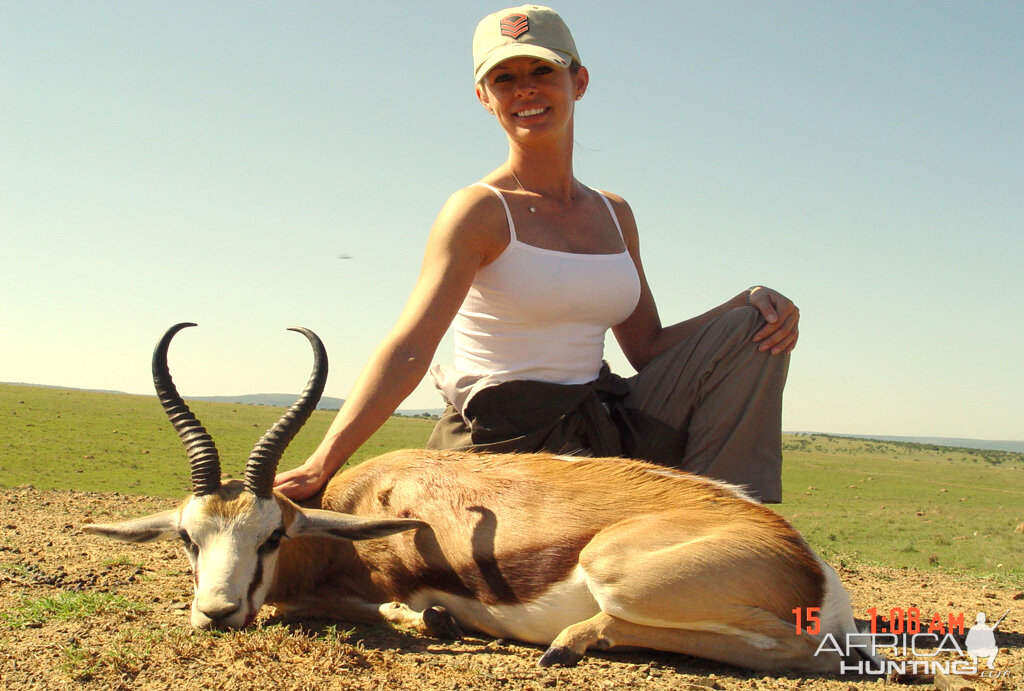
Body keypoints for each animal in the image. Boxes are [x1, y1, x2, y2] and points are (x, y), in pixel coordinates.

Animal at [83, 327, 876, 671]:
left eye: (271, 535)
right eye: (188, 538)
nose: (216, 613)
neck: (355, 501)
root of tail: (807, 564)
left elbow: (341, 606)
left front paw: (433, 618)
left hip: (618, 572)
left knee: (788, 651)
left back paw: (567, 642)